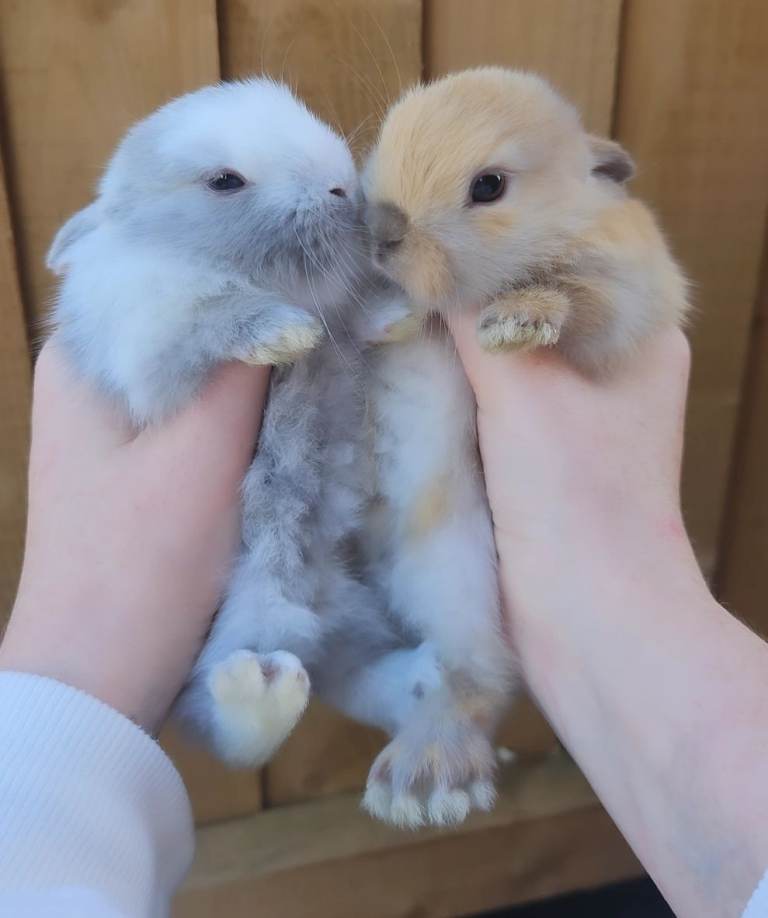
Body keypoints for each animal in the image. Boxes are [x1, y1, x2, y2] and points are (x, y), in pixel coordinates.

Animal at [45, 78, 444, 772]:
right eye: (224, 181)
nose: (342, 187)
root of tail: (305, 613)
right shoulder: (151, 349)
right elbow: (215, 317)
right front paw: (286, 334)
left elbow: (350, 320)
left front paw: (392, 317)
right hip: (220, 632)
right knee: (223, 729)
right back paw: (256, 693)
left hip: (344, 616)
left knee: (356, 672)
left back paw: (424, 674)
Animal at [354, 67, 689, 827]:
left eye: (489, 186)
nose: (380, 231)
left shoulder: (624, 296)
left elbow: (582, 301)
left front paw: (515, 323)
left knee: (481, 678)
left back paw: (426, 783)